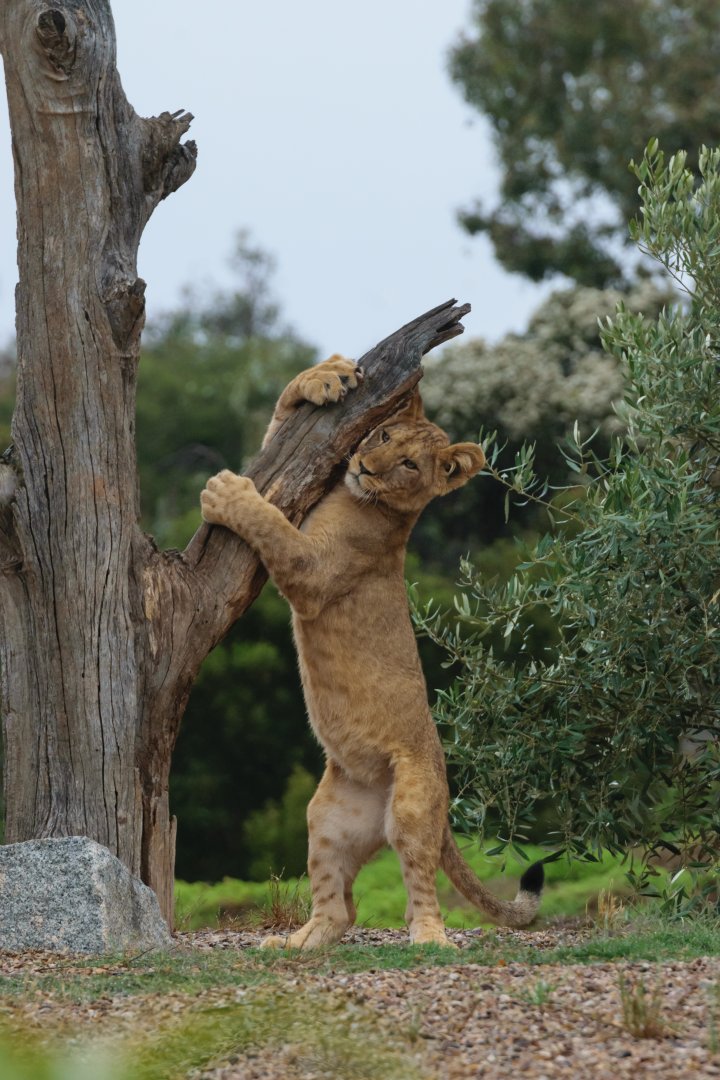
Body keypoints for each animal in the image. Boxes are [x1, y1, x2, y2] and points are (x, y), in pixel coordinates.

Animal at [201, 355, 543, 948]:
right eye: (382, 434)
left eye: (407, 463)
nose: (363, 463)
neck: (355, 496)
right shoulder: (302, 493)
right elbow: (276, 424)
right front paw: (324, 377)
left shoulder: (312, 570)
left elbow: (268, 521)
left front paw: (226, 493)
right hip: (325, 819)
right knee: (339, 910)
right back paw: (297, 943)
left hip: (412, 804)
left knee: (419, 889)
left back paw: (430, 940)